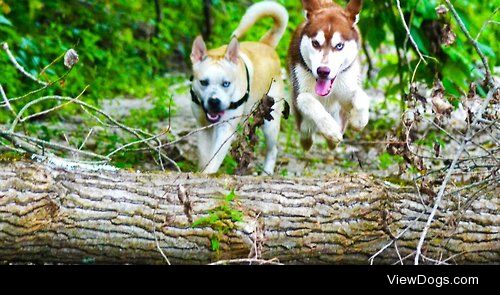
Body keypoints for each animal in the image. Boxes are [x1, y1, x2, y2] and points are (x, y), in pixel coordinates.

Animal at [188, 0, 290, 173]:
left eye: (226, 83)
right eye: (203, 82)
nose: (214, 101)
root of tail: (266, 45)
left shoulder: (225, 129)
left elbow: (214, 159)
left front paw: (208, 173)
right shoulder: (203, 127)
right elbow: (205, 157)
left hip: (270, 123)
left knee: (272, 149)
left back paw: (267, 171)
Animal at [288, 0, 370, 150]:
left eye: (339, 46)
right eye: (315, 43)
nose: (323, 71)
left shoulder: (346, 90)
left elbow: (360, 95)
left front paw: (359, 119)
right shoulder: (298, 92)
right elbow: (305, 99)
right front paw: (330, 128)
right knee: (306, 132)